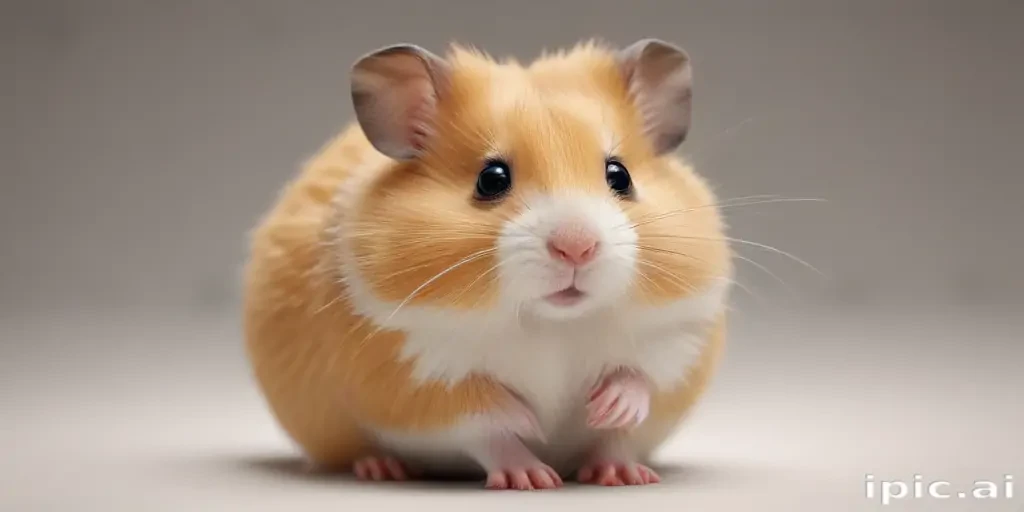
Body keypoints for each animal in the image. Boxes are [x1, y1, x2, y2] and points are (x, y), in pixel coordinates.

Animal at [243, 38, 733, 490]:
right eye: (491, 179)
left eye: (620, 175)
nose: (577, 248)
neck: (552, 324)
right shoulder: (411, 372)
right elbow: (485, 420)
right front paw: (532, 449)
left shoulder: (681, 338)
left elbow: (641, 382)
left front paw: (606, 409)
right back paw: (384, 468)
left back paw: (622, 475)